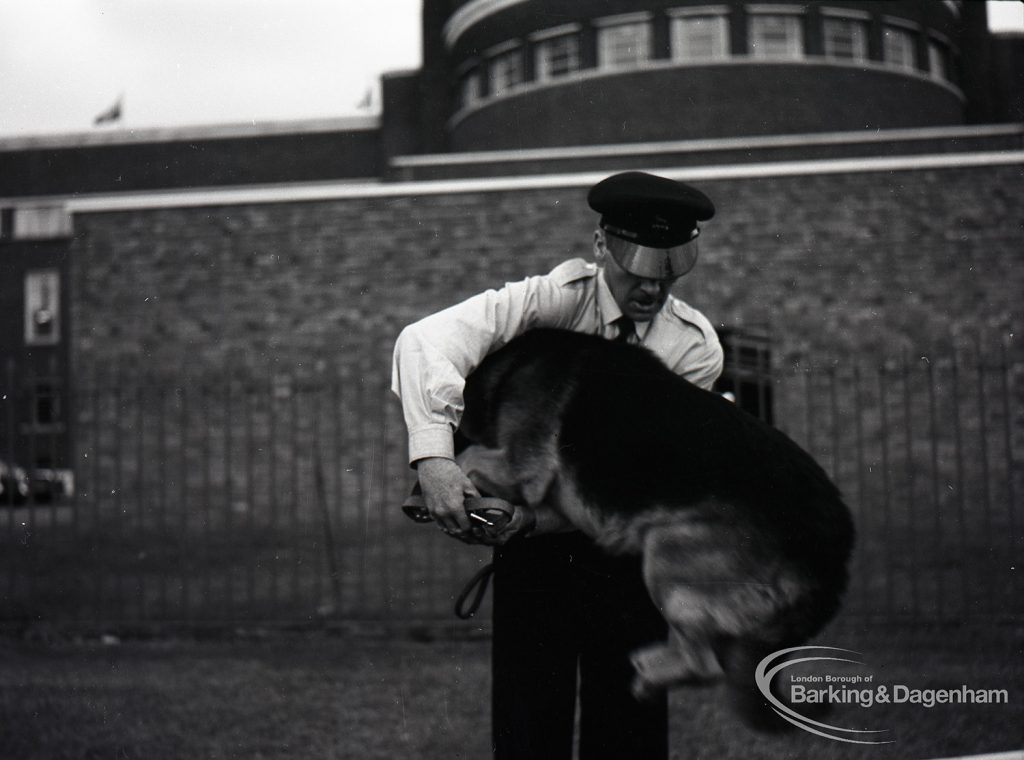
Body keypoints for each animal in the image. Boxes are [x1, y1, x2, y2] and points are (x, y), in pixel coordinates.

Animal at [456, 329, 856, 733]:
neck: (508, 362)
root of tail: (831, 558)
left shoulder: (520, 468)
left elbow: (468, 457)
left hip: (666, 558)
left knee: (705, 667)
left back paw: (650, 676)